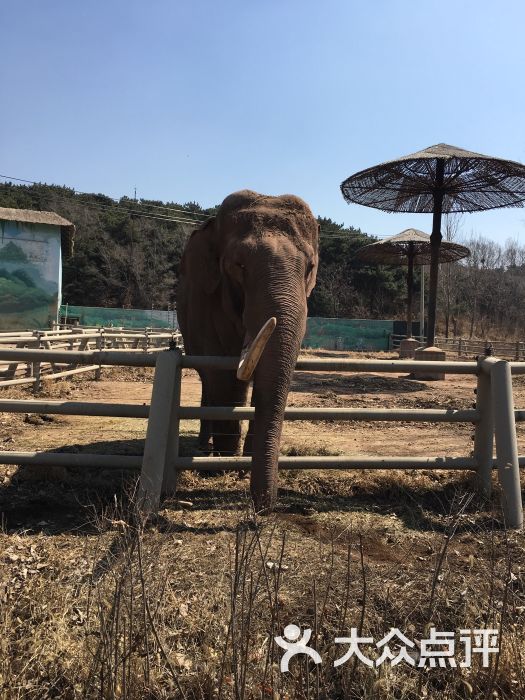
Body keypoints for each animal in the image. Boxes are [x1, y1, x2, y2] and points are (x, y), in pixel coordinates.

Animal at [176, 191, 318, 508]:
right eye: (239, 266)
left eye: (310, 268)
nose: (263, 507)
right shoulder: (203, 299)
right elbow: (220, 372)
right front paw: (223, 468)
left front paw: (242, 464)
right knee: (211, 382)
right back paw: (208, 452)